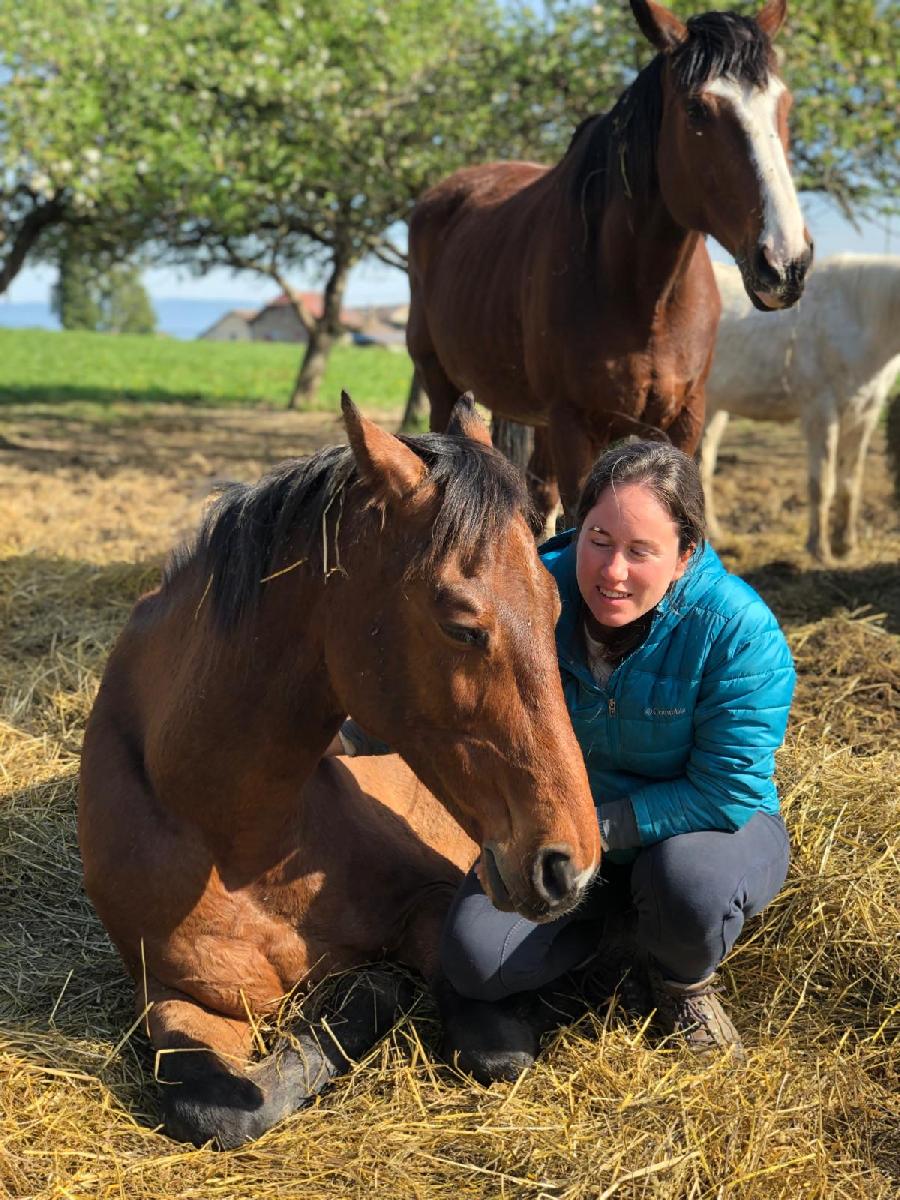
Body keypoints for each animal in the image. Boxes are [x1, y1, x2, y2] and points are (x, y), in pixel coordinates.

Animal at [77, 393, 600, 1142]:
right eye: (460, 625)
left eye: (555, 605)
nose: (570, 866)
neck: (234, 834)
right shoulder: (175, 995)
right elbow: (215, 1106)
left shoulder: (433, 900)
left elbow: (496, 1047)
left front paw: (369, 991)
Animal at [408, 0, 816, 525]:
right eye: (696, 109)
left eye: (785, 105)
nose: (784, 264)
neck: (644, 297)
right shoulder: (575, 424)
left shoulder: (685, 417)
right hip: (442, 384)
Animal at [705, 254, 900, 561]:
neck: (856, 316)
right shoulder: (821, 413)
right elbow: (822, 484)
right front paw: (819, 549)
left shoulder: (864, 415)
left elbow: (850, 483)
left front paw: (847, 546)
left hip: (713, 408)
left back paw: (713, 533)